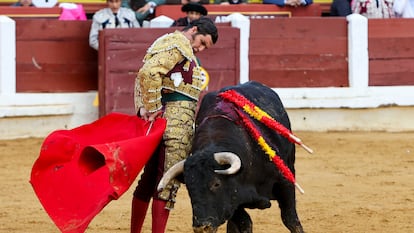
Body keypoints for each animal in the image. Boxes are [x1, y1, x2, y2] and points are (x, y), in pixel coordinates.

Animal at [158, 81, 304, 233]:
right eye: (189, 188)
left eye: (216, 183)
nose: (202, 227)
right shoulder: (233, 200)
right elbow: (245, 222)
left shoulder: (285, 183)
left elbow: (291, 220)